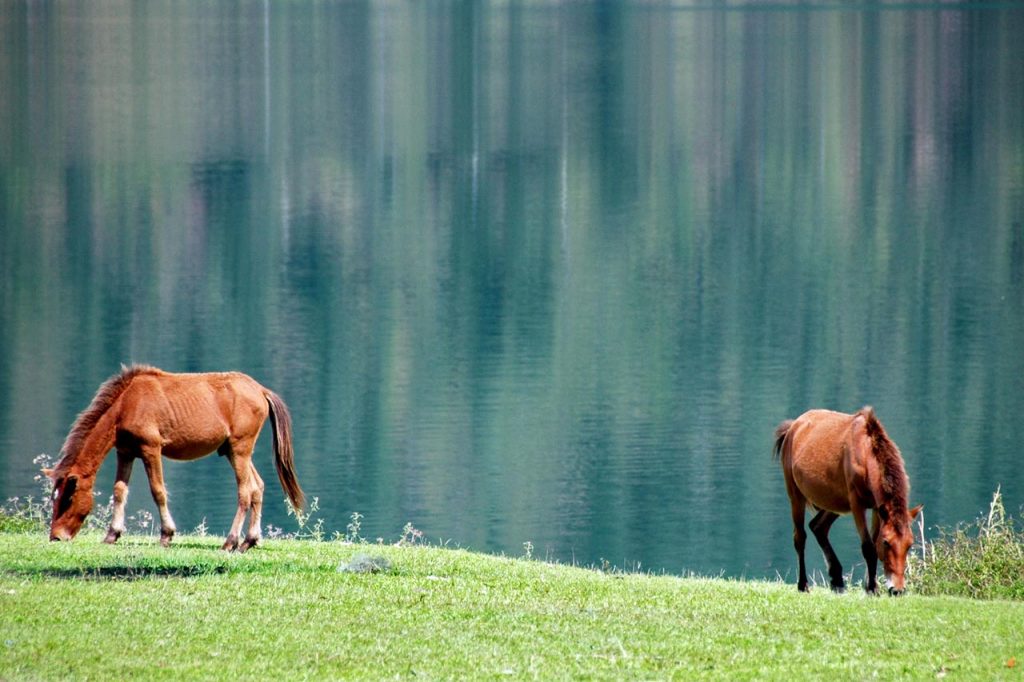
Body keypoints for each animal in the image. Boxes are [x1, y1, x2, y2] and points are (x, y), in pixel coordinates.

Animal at [46, 364, 301, 548]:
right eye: (54, 498)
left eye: (68, 498)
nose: (56, 536)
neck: (126, 404)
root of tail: (261, 390)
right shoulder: (125, 452)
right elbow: (119, 490)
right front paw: (112, 534)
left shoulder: (151, 448)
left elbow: (158, 491)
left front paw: (166, 534)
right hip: (232, 450)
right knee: (258, 487)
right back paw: (249, 540)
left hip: (240, 448)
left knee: (245, 492)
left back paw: (230, 542)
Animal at [770, 405, 925, 593]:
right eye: (887, 542)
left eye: (909, 544)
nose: (897, 589)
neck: (866, 455)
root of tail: (793, 427)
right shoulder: (857, 503)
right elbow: (868, 547)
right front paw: (872, 588)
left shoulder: (876, 507)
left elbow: (873, 544)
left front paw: (871, 586)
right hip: (796, 496)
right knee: (800, 537)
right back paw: (803, 585)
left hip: (834, 503)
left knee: (818, 527)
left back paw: (836, 579)